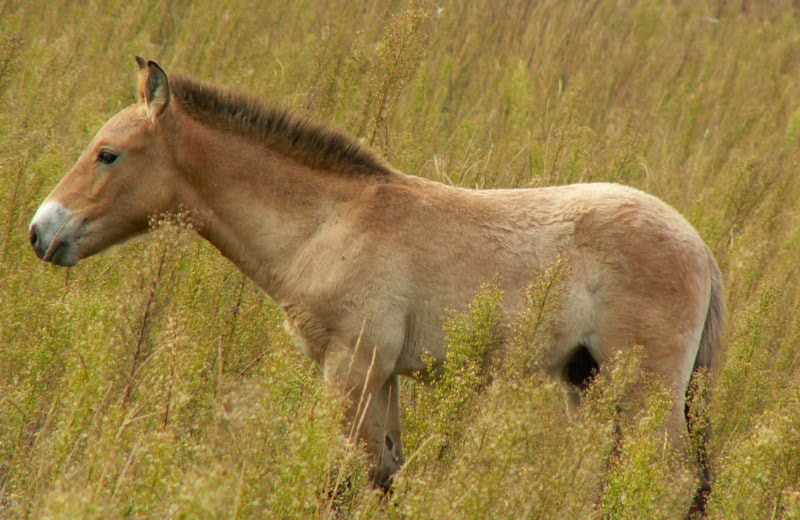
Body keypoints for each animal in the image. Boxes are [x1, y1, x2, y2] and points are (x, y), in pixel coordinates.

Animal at [29, 58, 724, 489]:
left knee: (666, 479)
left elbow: (347, 475)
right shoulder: (383, 376)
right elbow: (385, 474)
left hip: (646, 390)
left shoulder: (352, 366)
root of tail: (701, 248)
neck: (326, 226)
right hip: (591, 384)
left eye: (108, 154)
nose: (40, 231)